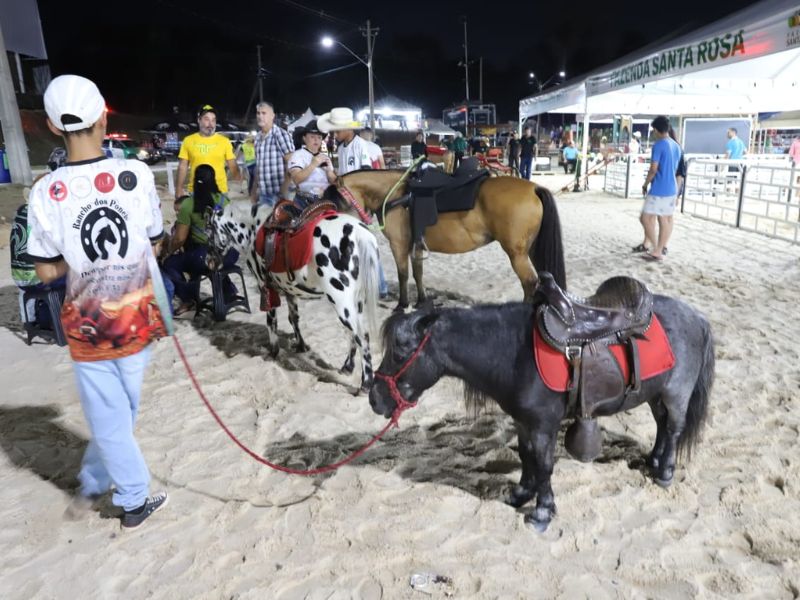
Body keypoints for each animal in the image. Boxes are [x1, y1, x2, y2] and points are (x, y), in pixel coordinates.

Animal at [206, 204, 382, 392]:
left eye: (208, 231)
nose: (209, 262)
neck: (253, 229)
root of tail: (360, 234)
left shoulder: (266, 288)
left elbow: (271, 322)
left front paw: (273, 352)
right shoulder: (289, 291)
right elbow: (294, 318)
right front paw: (301, 346)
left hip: (341, 302)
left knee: (361, 336)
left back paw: (366, 384)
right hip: (355, 302)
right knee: (353, 334)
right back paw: (347, 367)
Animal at [322, 169, 564, 310]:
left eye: (335, 199)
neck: (397, 195)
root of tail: (534, 188)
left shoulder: (398, 245)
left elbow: (403, 274)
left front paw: (402, 305)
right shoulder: (416, 246)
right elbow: (418, 273)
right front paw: (421, 301)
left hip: (517, 254)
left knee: (529, 282)